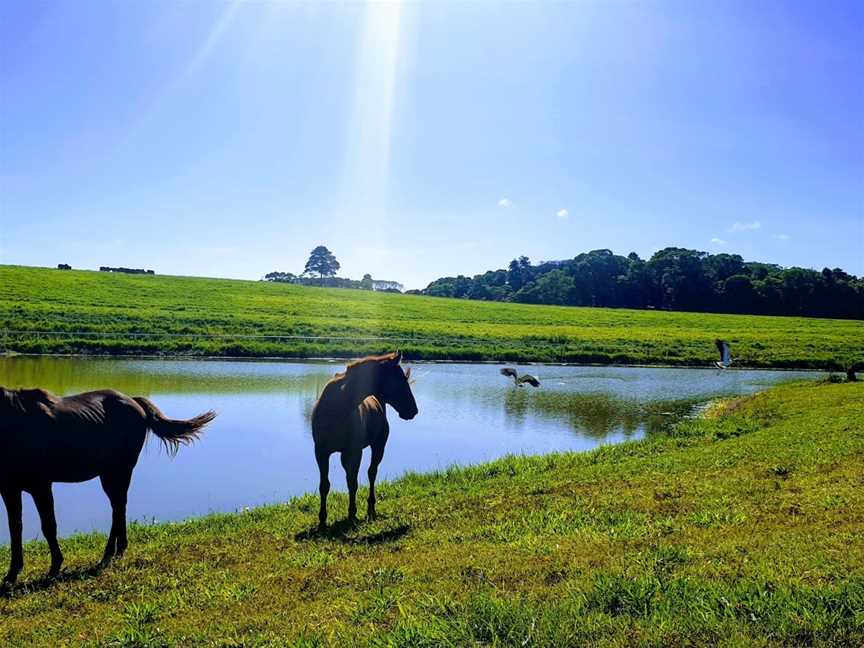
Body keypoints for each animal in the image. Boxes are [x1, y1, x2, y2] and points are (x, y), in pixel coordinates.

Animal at [0, 388, 214, 588]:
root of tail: (134, 401)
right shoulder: (9, 488)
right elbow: (15, 528)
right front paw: (12, 574)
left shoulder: (41, 485)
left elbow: (49, 526)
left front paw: (54, 568)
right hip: (111, 473)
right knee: (119, 507)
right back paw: (118, 549)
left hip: (119, 470)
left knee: (118, 507)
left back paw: (109, 553)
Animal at [310, 350, 418, 528]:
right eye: (401, 379)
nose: (413, 410)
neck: (338, 407)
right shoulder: (321, 452)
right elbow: (324, 485)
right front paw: (322, 519)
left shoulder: (354, 451)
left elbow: (353, 483)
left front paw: (352, 514)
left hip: (378, 445)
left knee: (371, 473)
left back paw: (371, 508)